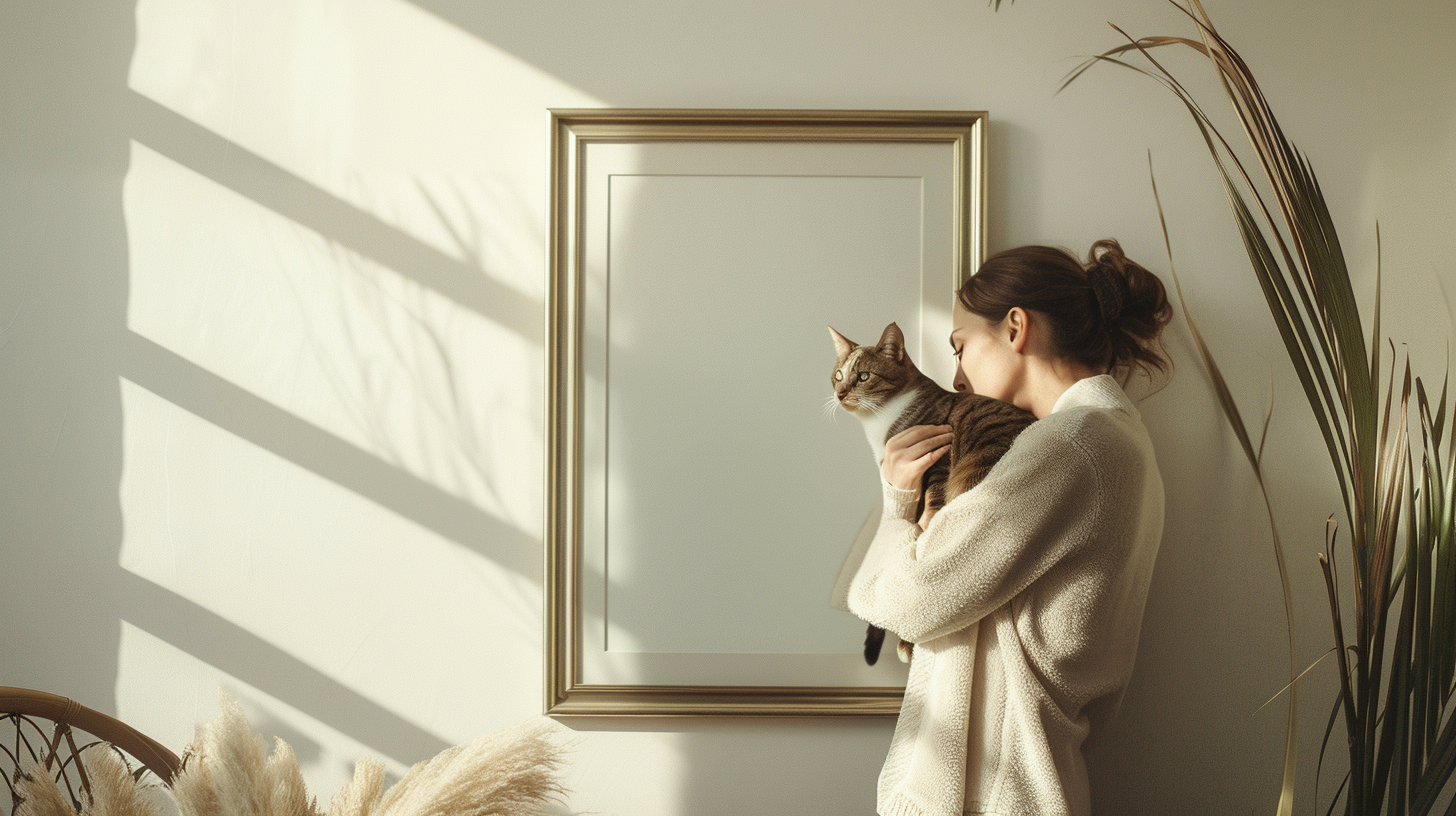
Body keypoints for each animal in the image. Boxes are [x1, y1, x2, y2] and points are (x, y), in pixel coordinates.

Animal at [832, 319, 1036, 664]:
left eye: (863, 376)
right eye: (837, 375)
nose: (840, 392)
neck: (878, 423)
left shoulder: (939, 459)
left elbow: (932, 504)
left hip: (973, 468)